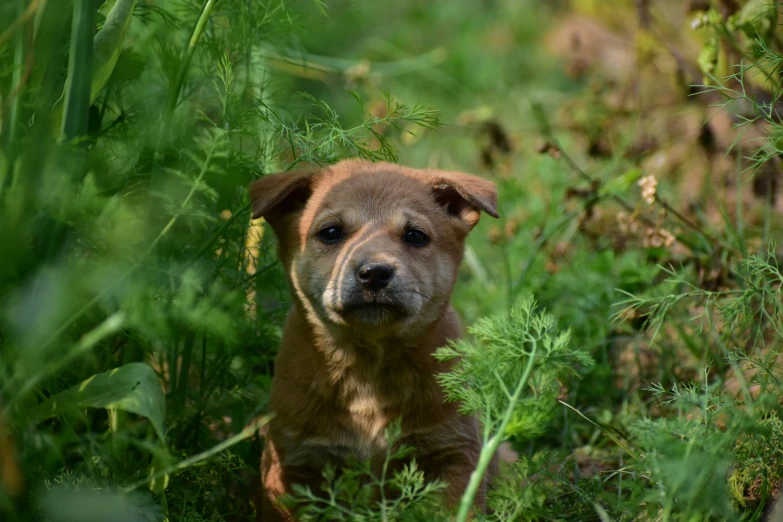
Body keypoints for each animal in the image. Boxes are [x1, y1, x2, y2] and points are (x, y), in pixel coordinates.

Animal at [251, 158, 502, 520]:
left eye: (415, 236)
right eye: (331, 232)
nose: (375, 273)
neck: (368, 369)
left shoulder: (454, 453)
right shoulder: (291, 467)